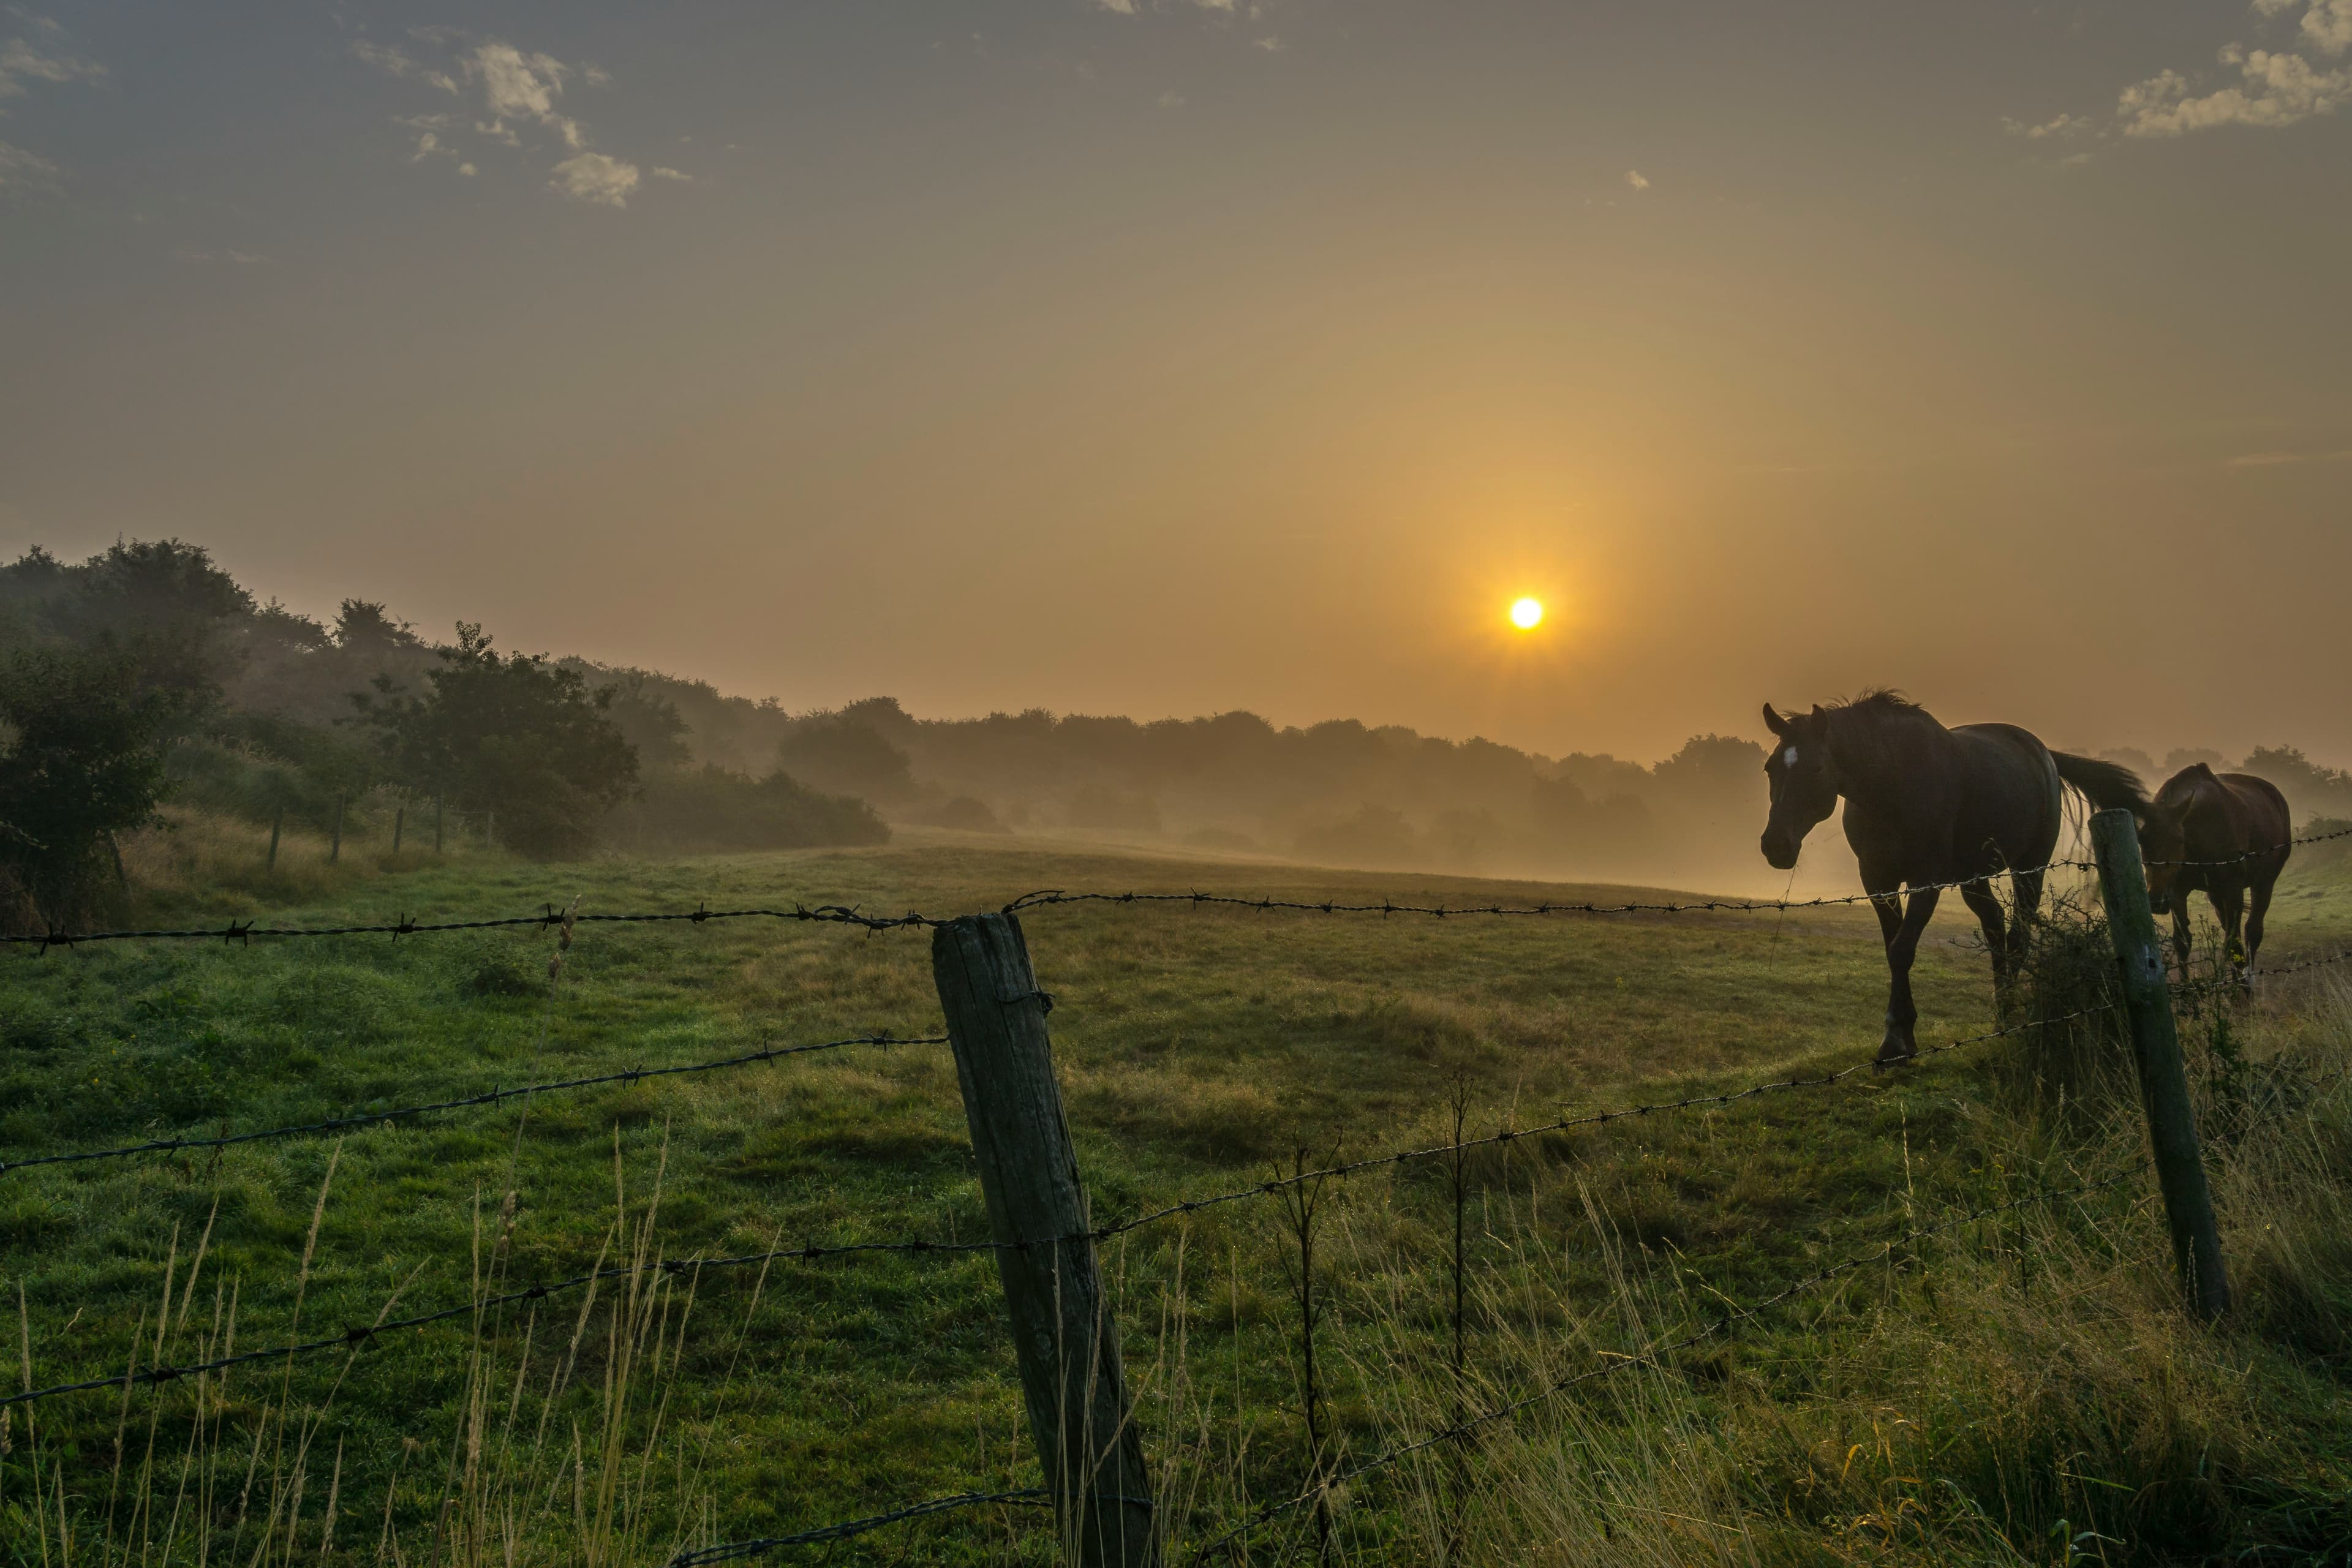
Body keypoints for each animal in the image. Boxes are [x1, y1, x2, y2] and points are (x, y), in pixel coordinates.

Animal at [1759, 696, 2145, 1067]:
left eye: (1816, 767)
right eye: (1770, 768)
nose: (1775, 845)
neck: (1892, 783)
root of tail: (2043, 754)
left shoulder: (1926, 881)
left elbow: (1902, 950)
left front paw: (1895, 1042)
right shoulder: (1877, 880)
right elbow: (1892, 948)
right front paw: (1902, 1037)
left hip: (2030, 869)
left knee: (2018, 936)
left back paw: (2010, 1014)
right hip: (1972, 878)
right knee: (1994, 926)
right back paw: (2001, 1012)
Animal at [2145, 761, 2286, 992]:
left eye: (2178, 840)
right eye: (2141, 840)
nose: (2156, 900)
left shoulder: (2234, 890)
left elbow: (2234, 943)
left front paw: (2239, 992)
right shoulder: (2178, 892)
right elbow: (2183, 942)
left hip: (2264, 883)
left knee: (2252, 931)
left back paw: (2247, 984)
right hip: (2216, 894)